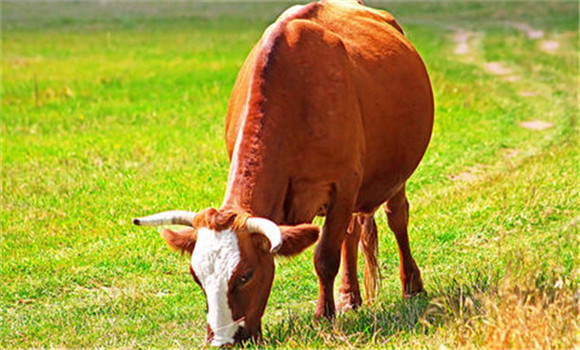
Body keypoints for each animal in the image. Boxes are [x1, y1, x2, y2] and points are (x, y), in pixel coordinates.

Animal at [133, 0, 430, 346]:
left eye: (245, 275)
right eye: (197, 277)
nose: (222, 342)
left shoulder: (343, 186)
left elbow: (325, 256)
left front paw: (323, 316)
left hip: (394, 178)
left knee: (397, 218)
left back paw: (411, 286)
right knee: (352, 233)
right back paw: (349, 297)